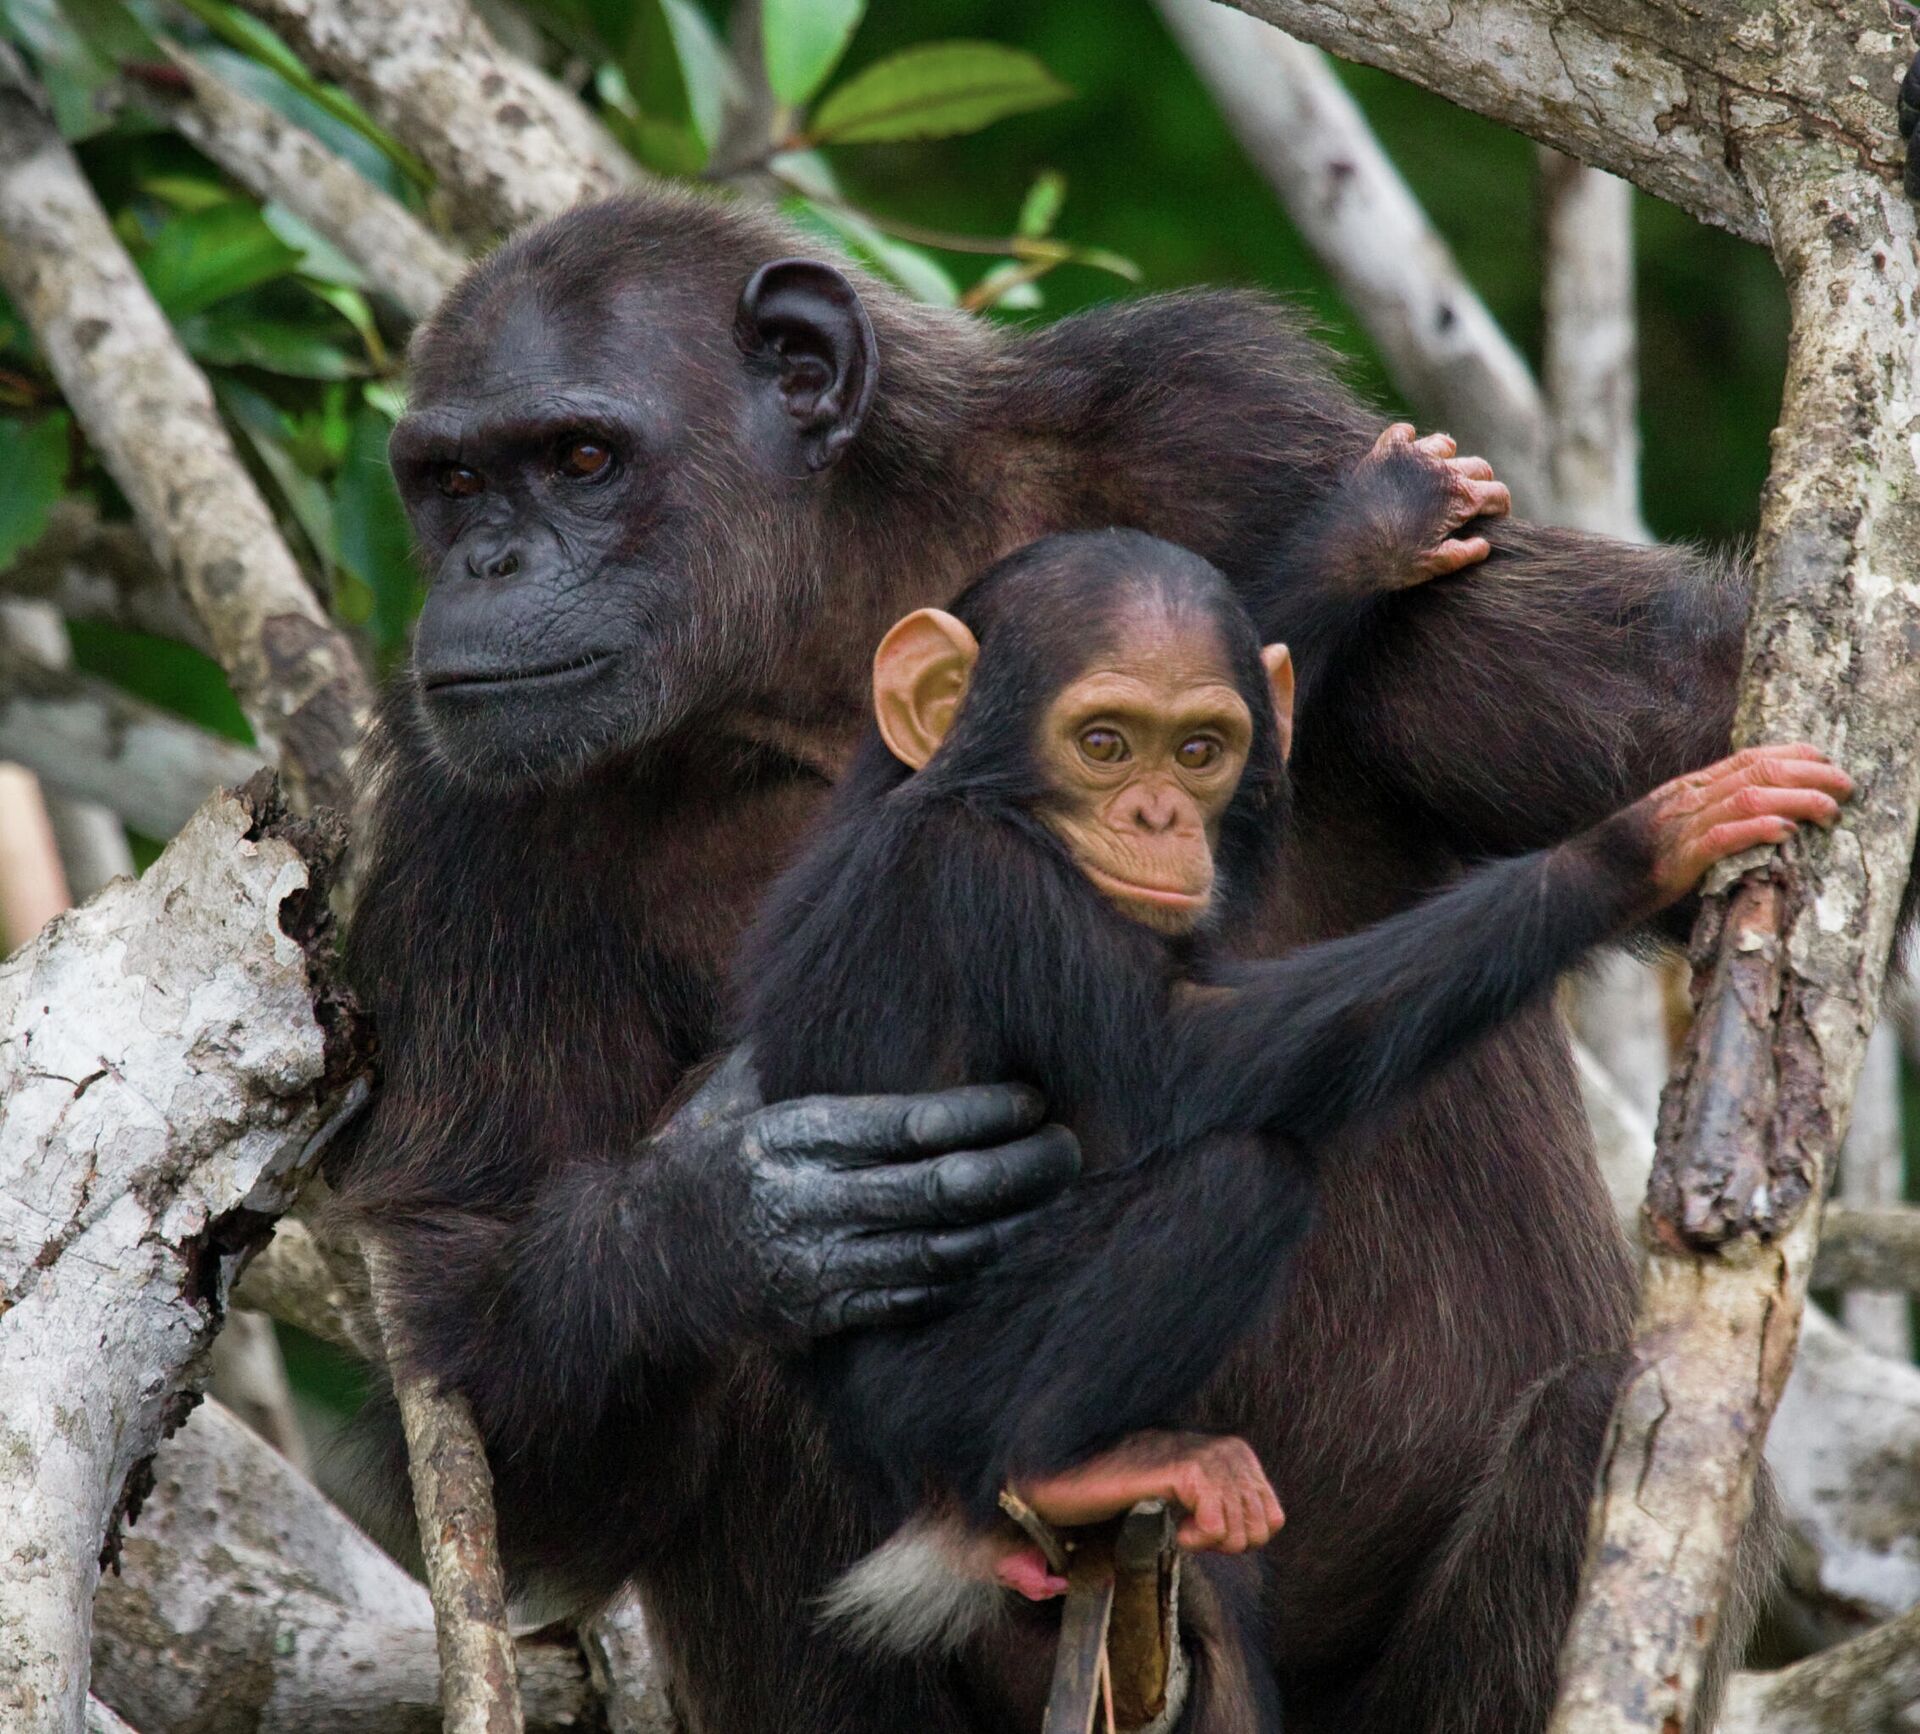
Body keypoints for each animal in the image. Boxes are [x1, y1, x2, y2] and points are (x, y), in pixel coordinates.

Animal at [737, 526, 1843, 1720]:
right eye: (1103, 743)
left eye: (1200, 752)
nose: (1157, 818)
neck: (992, 800)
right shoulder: (989, 885)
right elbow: (1187, 1056)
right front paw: (1638, 845)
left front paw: (1376, 540)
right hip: (934, 1405)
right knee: (1238, 1176)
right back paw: (1062, 1470)